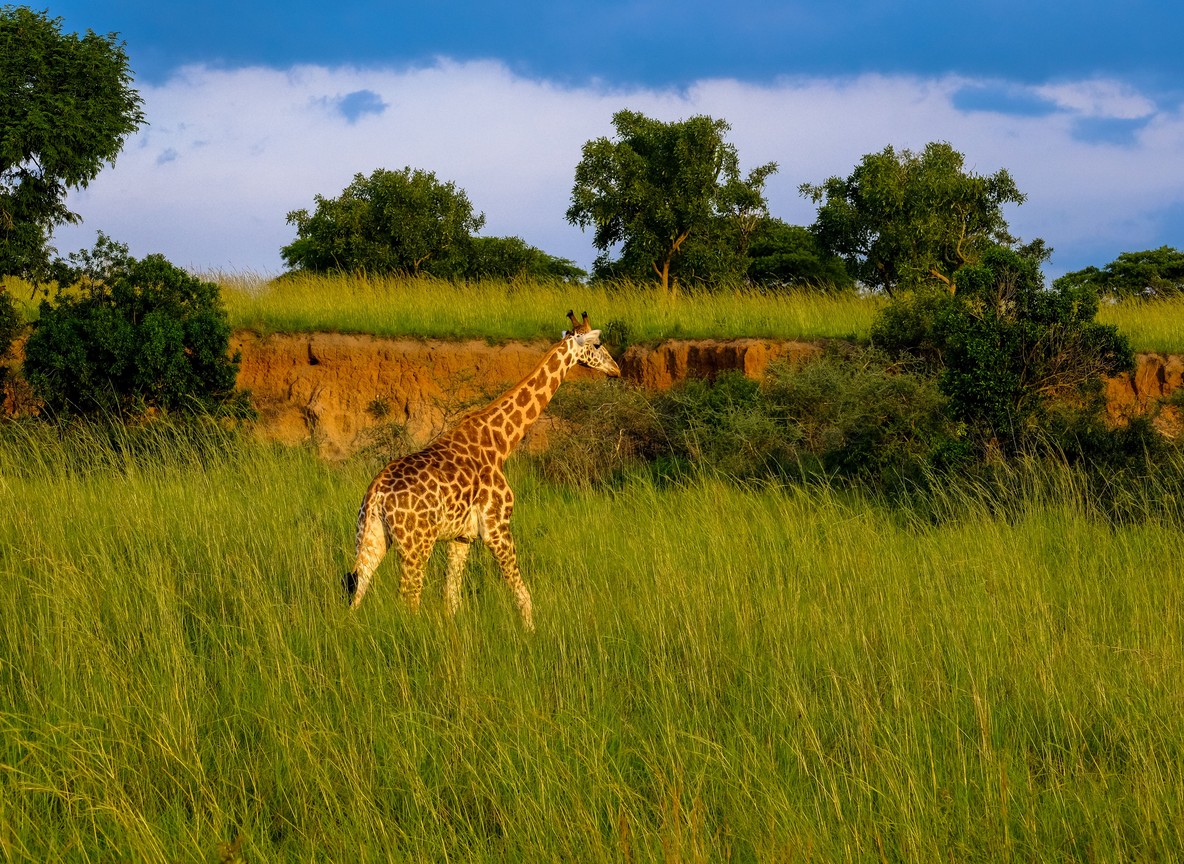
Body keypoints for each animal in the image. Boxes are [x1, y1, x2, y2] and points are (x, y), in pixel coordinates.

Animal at [343, 311, 620, 629]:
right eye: (598, 344)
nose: (616, 370)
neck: (500, 442)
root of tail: (377, 494)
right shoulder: (496, 526)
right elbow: (522, 594)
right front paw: (531, 633)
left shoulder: (461, 536)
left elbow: (451, 599)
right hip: (416, 543)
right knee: (408, 598)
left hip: (371, 534)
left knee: (358, 587)